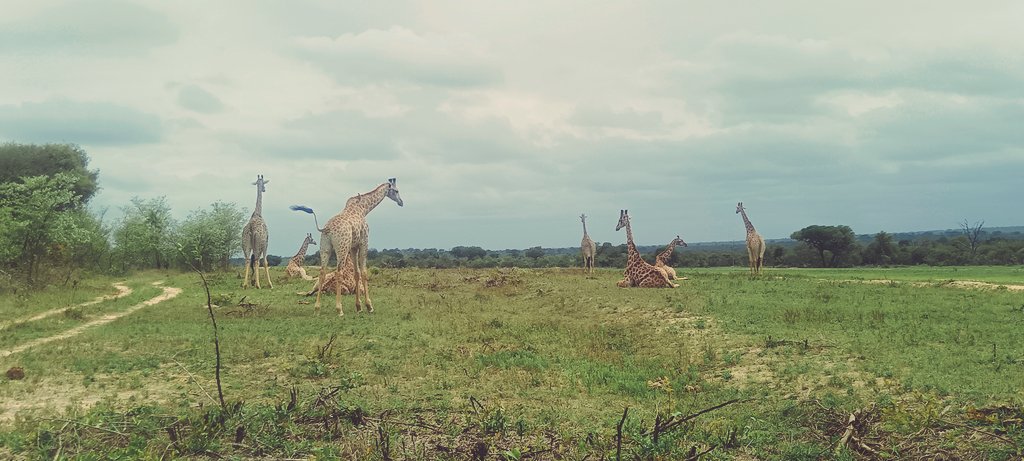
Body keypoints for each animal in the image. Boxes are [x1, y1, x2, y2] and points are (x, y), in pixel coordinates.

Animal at [291, 178, 403, 316]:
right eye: (396, 190)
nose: (401, 202)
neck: (363, 208)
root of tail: (326, 229)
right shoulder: (364, 242)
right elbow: (364, 272)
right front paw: (369, 306)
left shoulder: (353, 247)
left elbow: (356, 273)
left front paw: (358, 306)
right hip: (341, 249)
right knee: (338, 272)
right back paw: (339, 309)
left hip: (325, 248)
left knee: (322, 272)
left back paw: (317, 309)